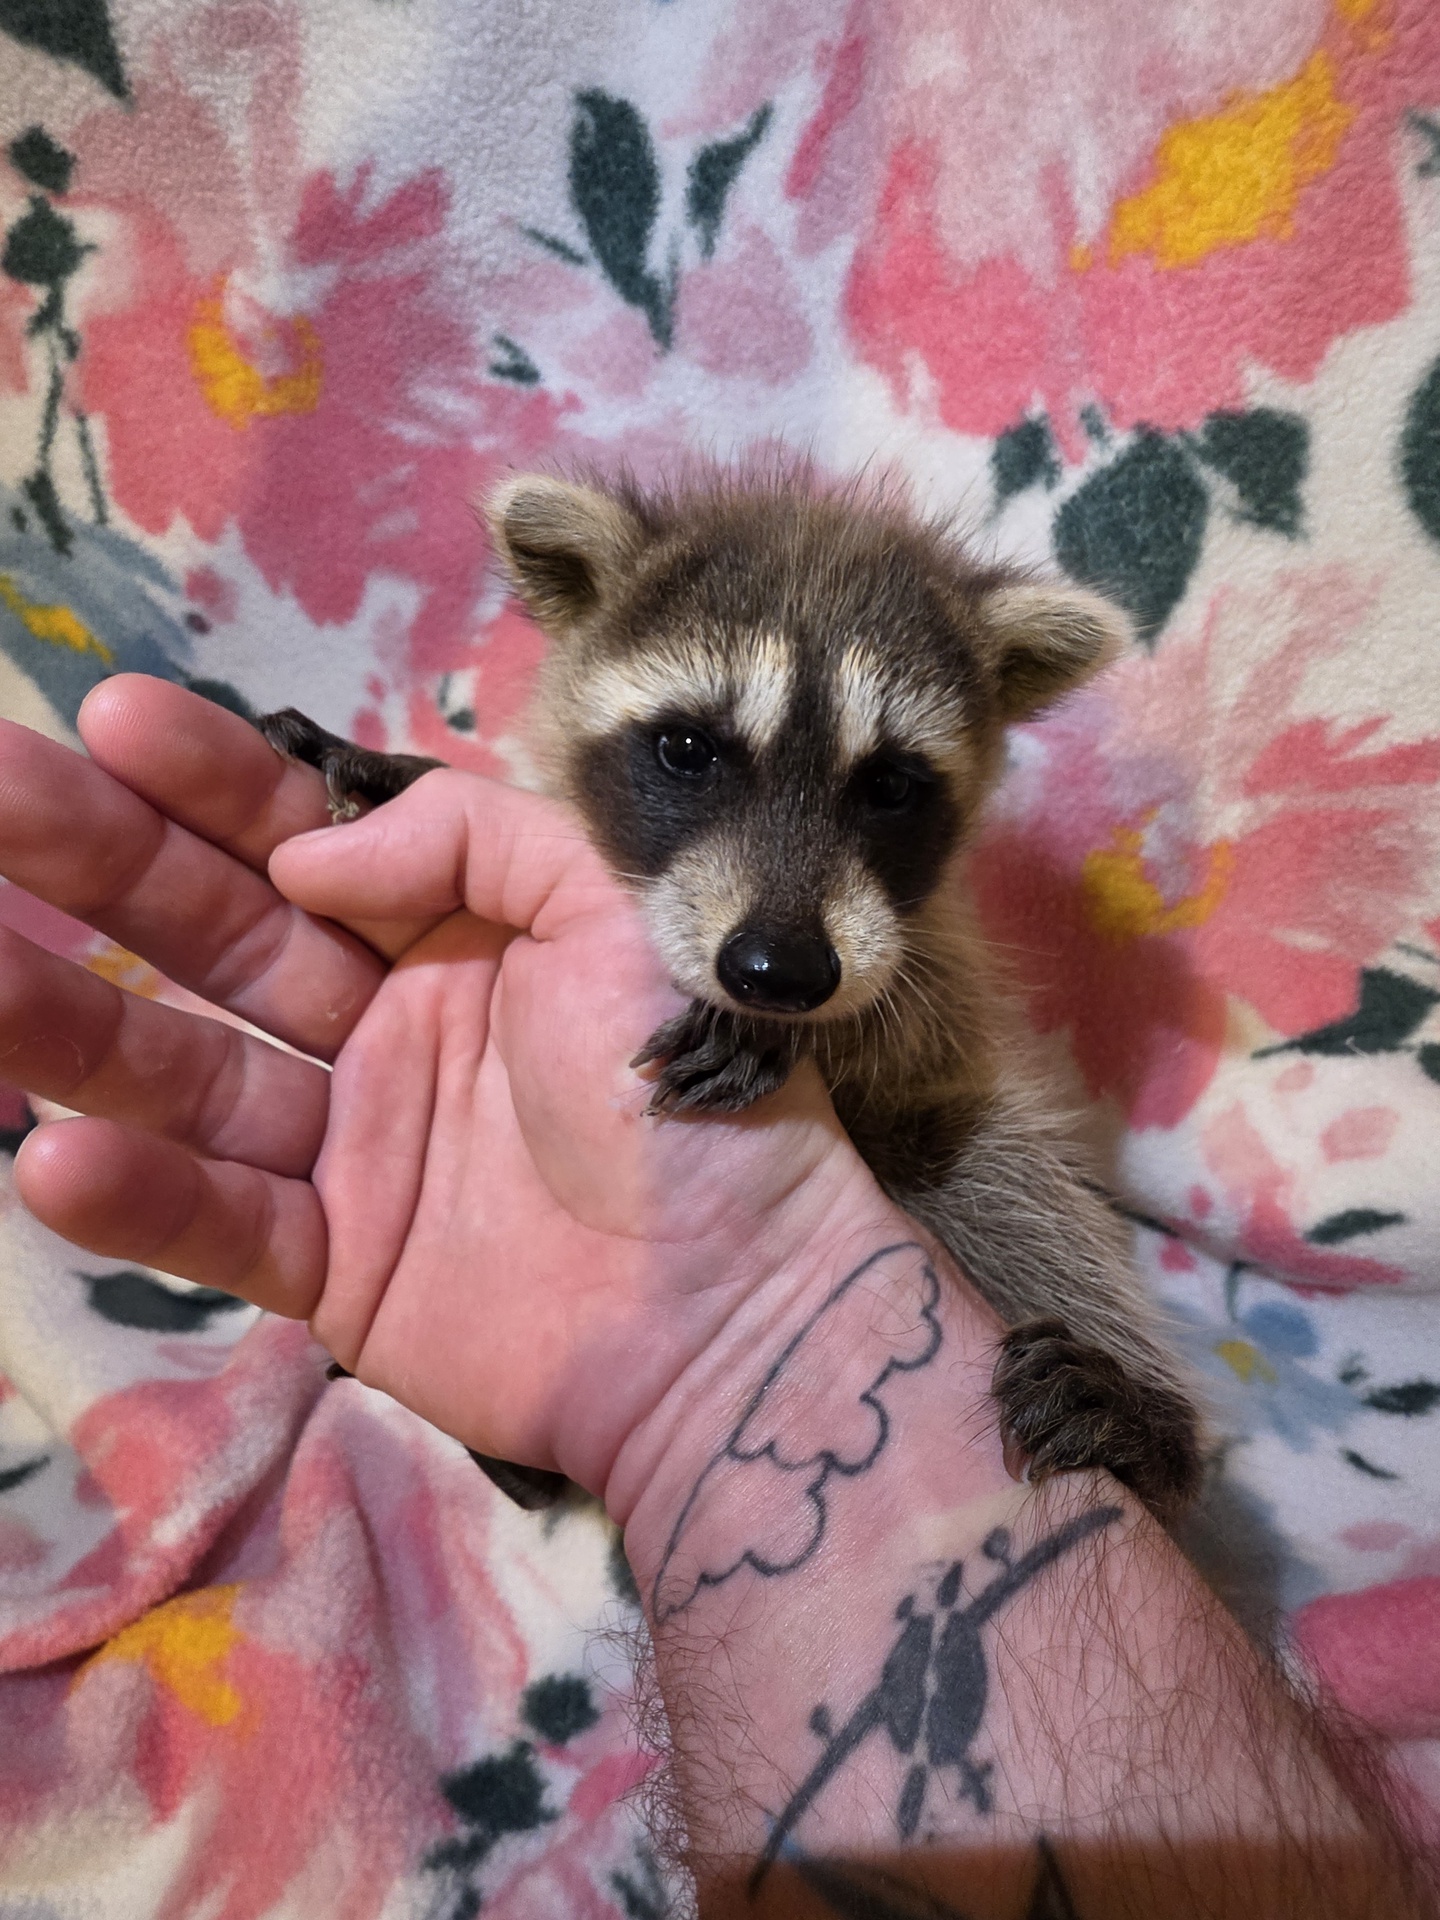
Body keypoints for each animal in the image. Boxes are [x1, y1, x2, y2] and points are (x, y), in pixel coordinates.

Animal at [262, 468, 1203, 1519]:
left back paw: (1151, 1422)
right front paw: (408, 769)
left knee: (1012, 1187)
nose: (779, 975)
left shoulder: (940, 961)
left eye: (889, 784)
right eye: (685, 748)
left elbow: (917, 1024)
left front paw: (809, 1033)